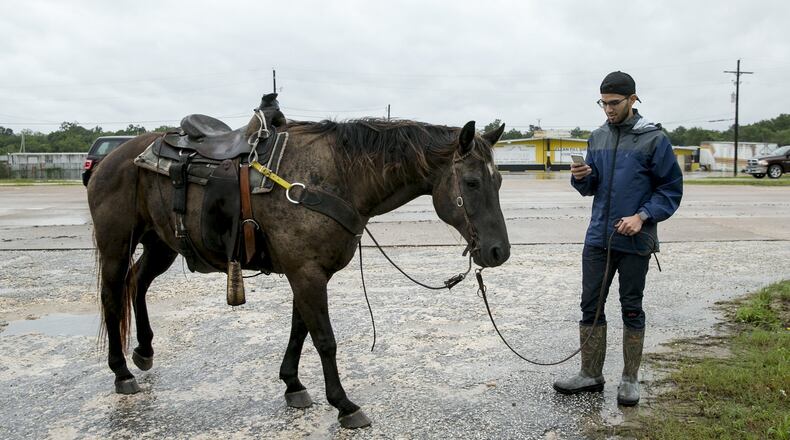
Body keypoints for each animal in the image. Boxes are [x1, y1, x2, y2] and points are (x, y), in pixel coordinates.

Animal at [87, 115, 510, 428]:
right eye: (471, 182)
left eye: (500, 180)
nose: (499, 251)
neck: (334, 177)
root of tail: (112, 157)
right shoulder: (306, 272)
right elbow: (324, 338)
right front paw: (344, 404)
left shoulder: (306, 271)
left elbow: (299, 328)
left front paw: (292, 384)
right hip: (116, 246)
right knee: (112, 296)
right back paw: (121, 371)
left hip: (161, 244)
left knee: (137, 283)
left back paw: (144, 350)